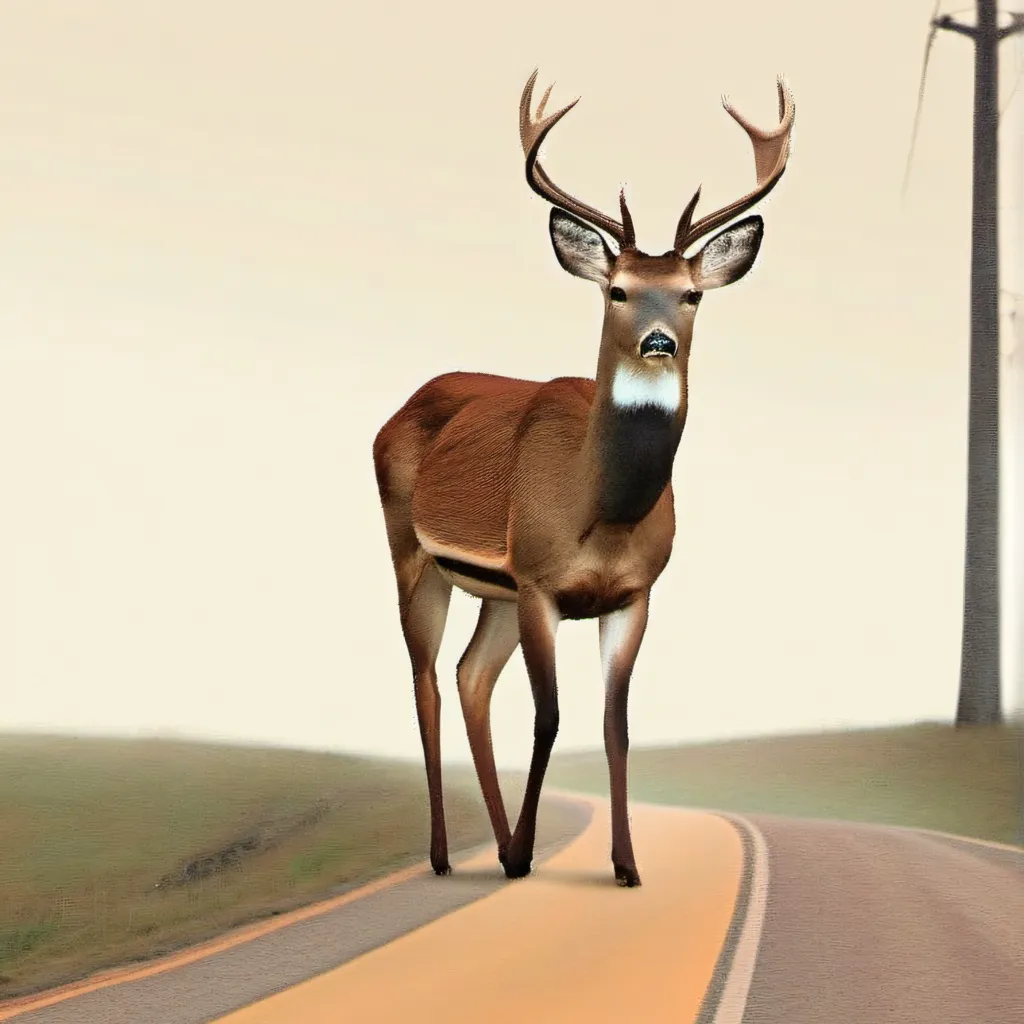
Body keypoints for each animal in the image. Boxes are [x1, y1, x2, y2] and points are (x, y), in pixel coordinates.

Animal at [372, 69, 794, 887]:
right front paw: (527, 854)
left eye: (691, 292)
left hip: (493, 591)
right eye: (617, 289)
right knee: (427, 680)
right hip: (413, 552)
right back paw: (449, 853)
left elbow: (615, 722)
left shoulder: (631, 594)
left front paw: (625, 864)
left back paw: (498, 841)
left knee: (470, 677)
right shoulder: (539, 581)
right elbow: (550, 716)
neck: (601, 512)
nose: (659, 342)